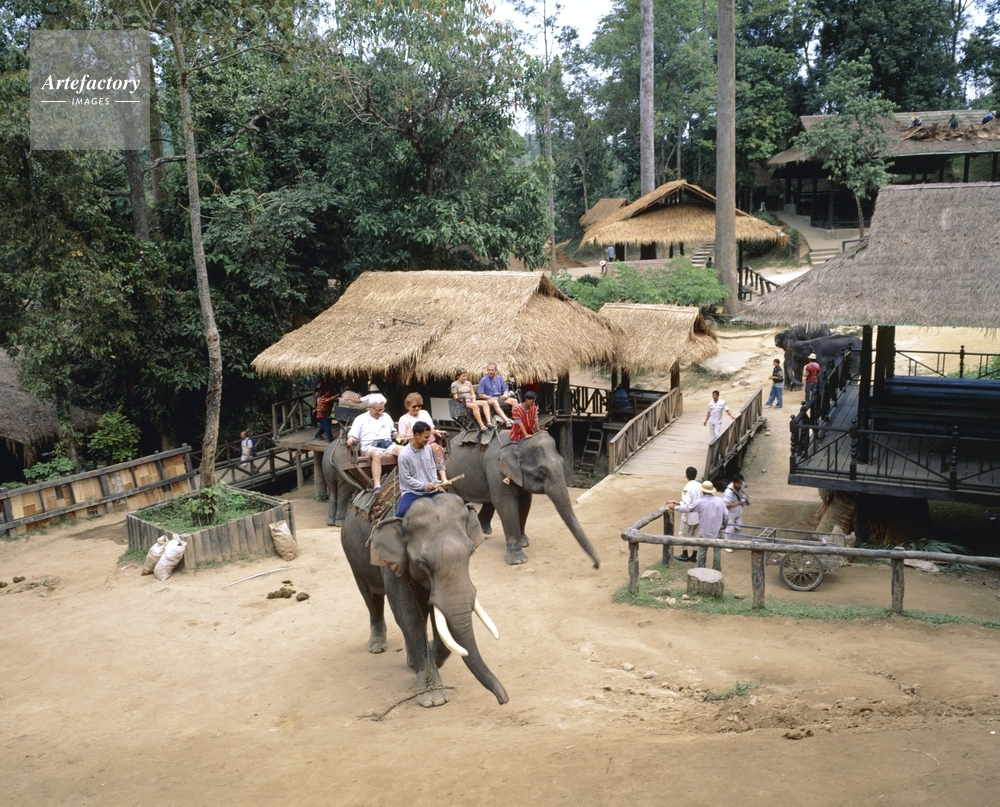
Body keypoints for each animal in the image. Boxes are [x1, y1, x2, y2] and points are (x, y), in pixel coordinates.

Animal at [340, 492, 508, 707]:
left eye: (471, 553)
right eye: (424, 563)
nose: (503, 700)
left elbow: (437, 615)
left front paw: (431, 656)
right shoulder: (395, 566)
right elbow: (409, 616)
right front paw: (434, 699)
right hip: (352, 553)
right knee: (372, 598)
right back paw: (377, 647)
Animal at [446, 430, 600, 569]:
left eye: (563, 462)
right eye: (541, 471)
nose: (595, 566)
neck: (516, 443)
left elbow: (525, 502)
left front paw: (524, 542)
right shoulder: (495, 469)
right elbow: (506, 505)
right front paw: (518, 561)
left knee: (488, 501)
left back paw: (484, 531)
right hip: (450, 477)